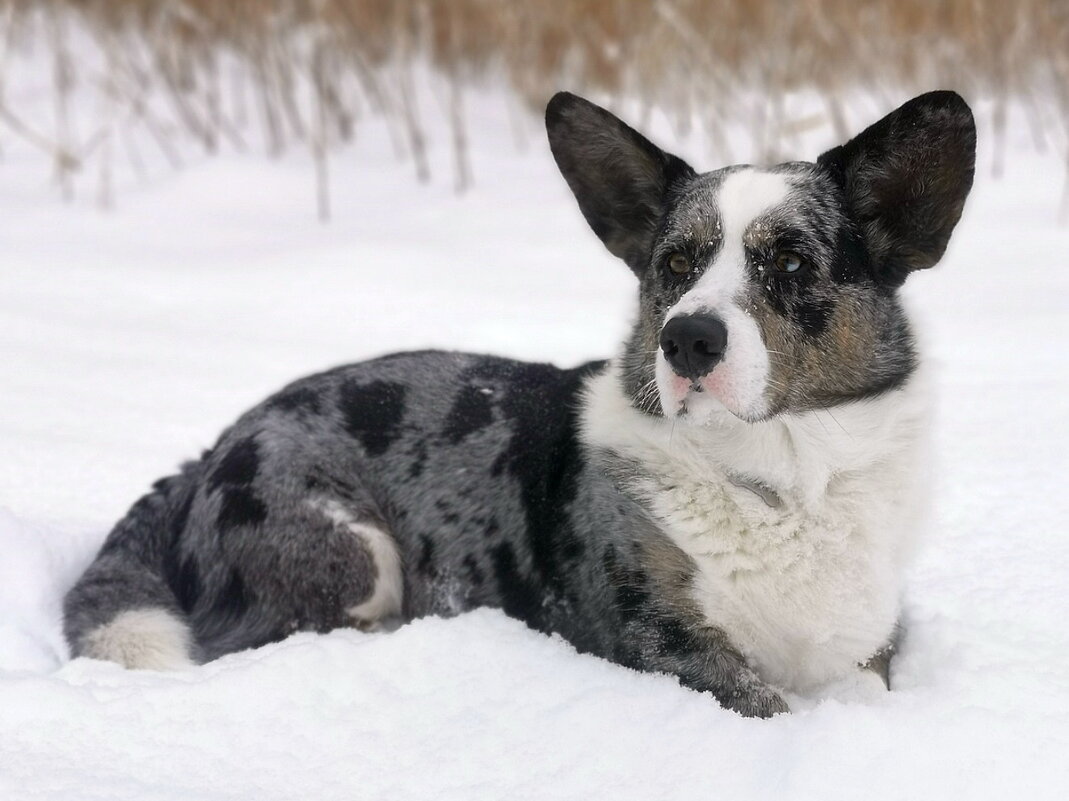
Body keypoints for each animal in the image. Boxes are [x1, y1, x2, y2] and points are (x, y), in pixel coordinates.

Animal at [62, 90, 974, 714]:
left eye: (787, 262)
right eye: (675, 264)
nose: (685, 340)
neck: (780, 481)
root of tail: (205, 454)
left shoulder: (865, 648)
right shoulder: (664, 641)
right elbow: (764, 702)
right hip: (350, 551)